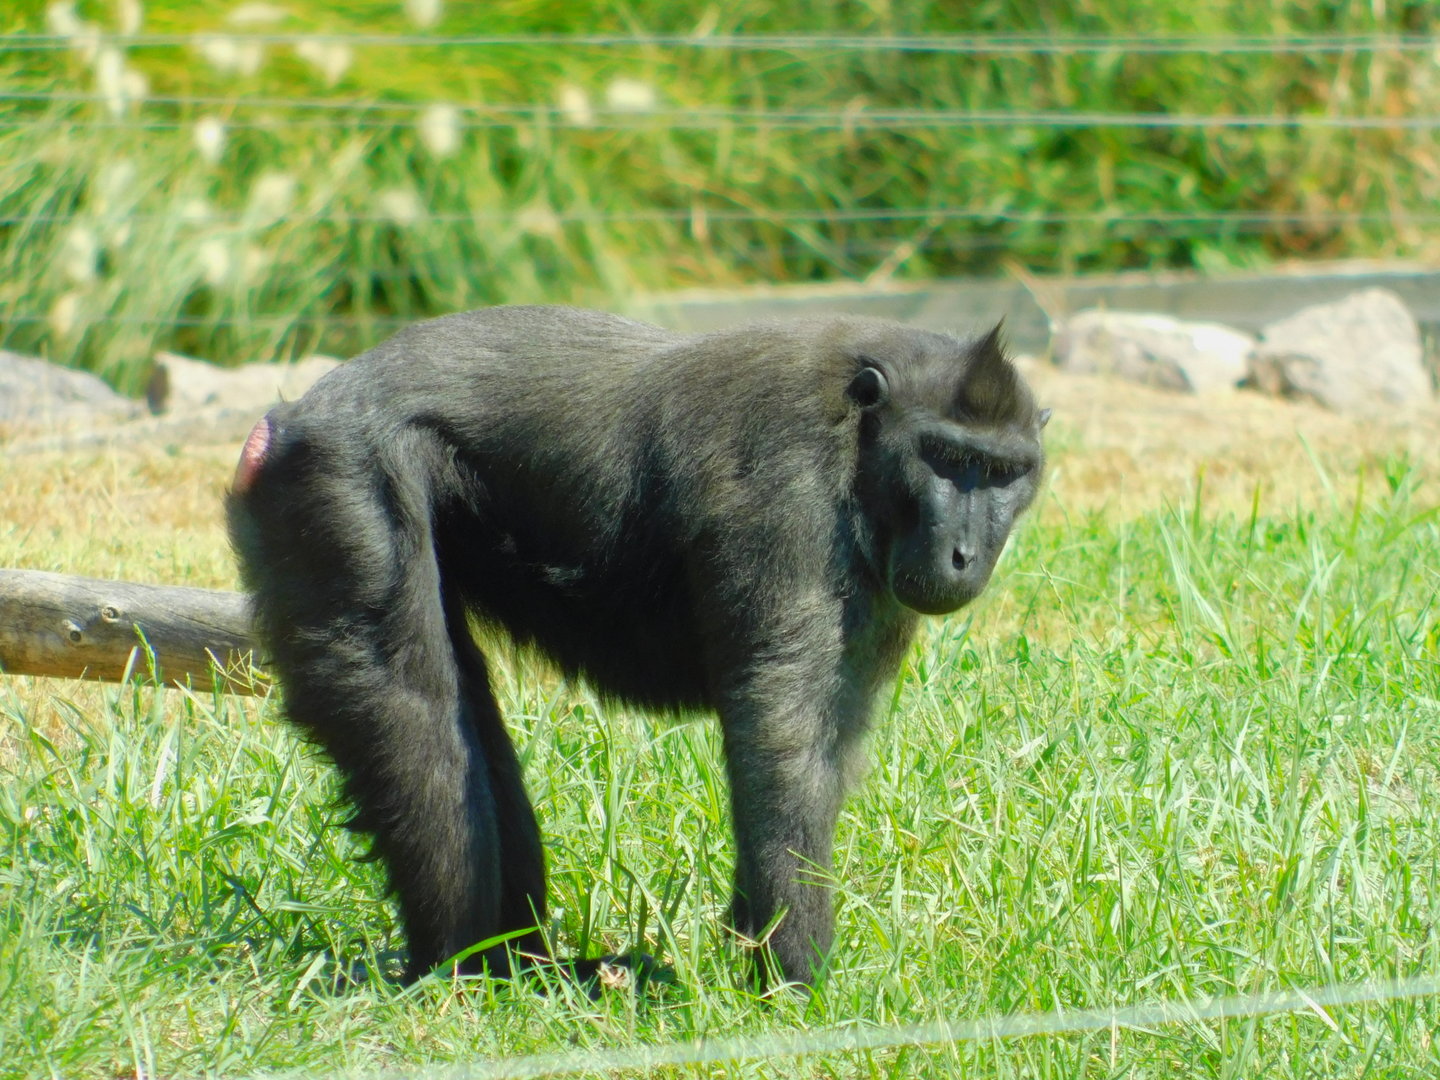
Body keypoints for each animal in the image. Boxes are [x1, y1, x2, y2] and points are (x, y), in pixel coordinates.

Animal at [226, 305, 1048, 990]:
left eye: (1003, 473)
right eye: (944, 457)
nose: (964, 555)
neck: (858, 430)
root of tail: (294, 413)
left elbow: (822, 747)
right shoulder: (788, 487)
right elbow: (781, 737)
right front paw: (795, 978)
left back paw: (522, 965)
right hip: (339, 473)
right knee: (412, 709)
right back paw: (459, 966)